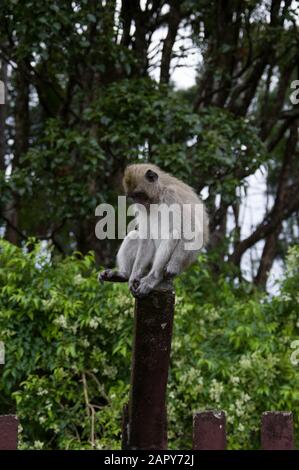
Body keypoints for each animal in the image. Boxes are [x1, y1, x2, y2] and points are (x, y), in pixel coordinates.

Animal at [99, 162, 210, 298]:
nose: (138, 203)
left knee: (173, 234)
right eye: (133, 197)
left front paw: (174, 265)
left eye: (139, 195)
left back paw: (154, 278)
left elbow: (192, 231)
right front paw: (132, 277)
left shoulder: (171, 195)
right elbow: (145, 236)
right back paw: (124, 275)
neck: (158, 194)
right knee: (134, 235)